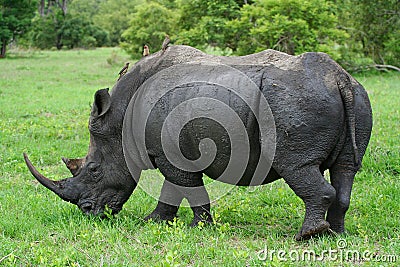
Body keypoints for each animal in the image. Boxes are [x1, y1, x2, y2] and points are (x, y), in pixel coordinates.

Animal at [24, 45, 372, 242]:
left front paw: (196, 227)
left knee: (296, 165)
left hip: (293, 102)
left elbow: (185, 188)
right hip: (356, 95)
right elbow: (173, 189)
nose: (89, 213)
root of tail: (338, 78)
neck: (120, 116)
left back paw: (305, 237)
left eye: (94, 169)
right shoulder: (172, 152)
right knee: (346, 168)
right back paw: (334, 234)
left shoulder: (173, 154)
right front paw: (154, 222)